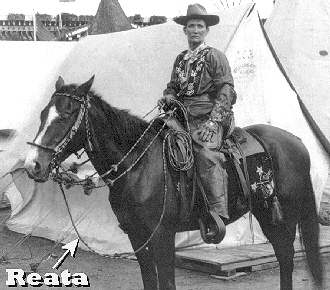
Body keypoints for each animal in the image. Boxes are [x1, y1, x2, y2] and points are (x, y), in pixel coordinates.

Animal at [24, 76, 324, 290]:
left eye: (66, 114)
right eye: (42, 114)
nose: (33, 165)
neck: (138, 165)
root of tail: (297, 142)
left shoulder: (162, 235)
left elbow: (166, 282)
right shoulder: (137, 237)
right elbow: (150, 281)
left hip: (283, 217)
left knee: (287, 258)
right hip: (266, 213)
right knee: (285, 258)